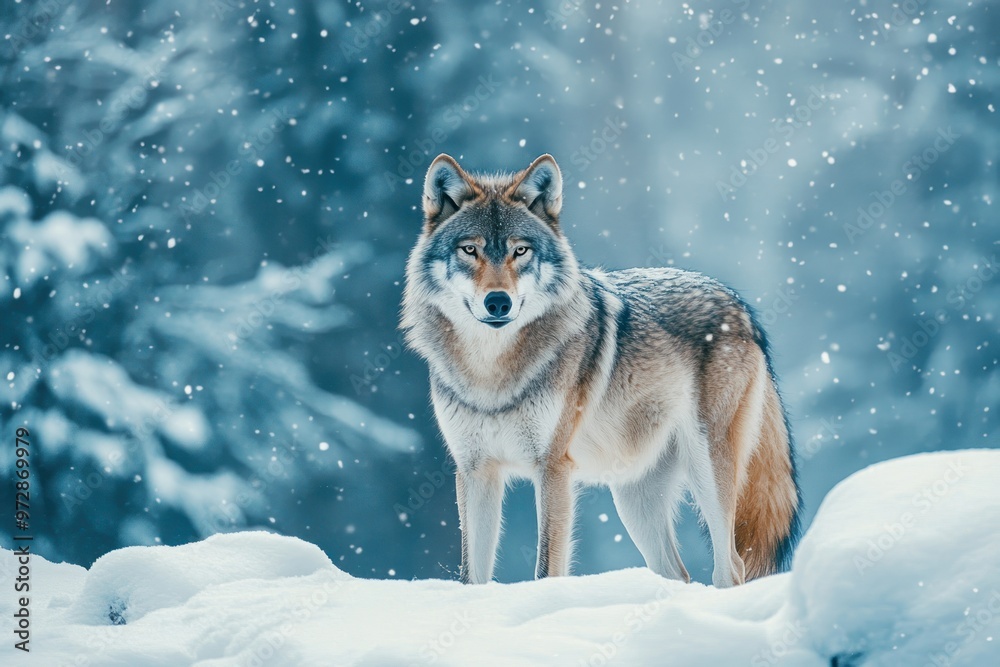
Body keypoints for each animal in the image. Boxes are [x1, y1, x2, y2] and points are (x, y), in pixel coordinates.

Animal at [401, 153, 800, 587]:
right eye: (469, 250)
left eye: (521, 250)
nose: (498, 302)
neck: (490, 373)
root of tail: (743, 309)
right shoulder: (474, 471)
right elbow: (472, 576)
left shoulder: (553, 468)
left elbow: (546, 569)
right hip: (633, 497)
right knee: (678, 574)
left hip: (707, 471)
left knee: (732, 567)